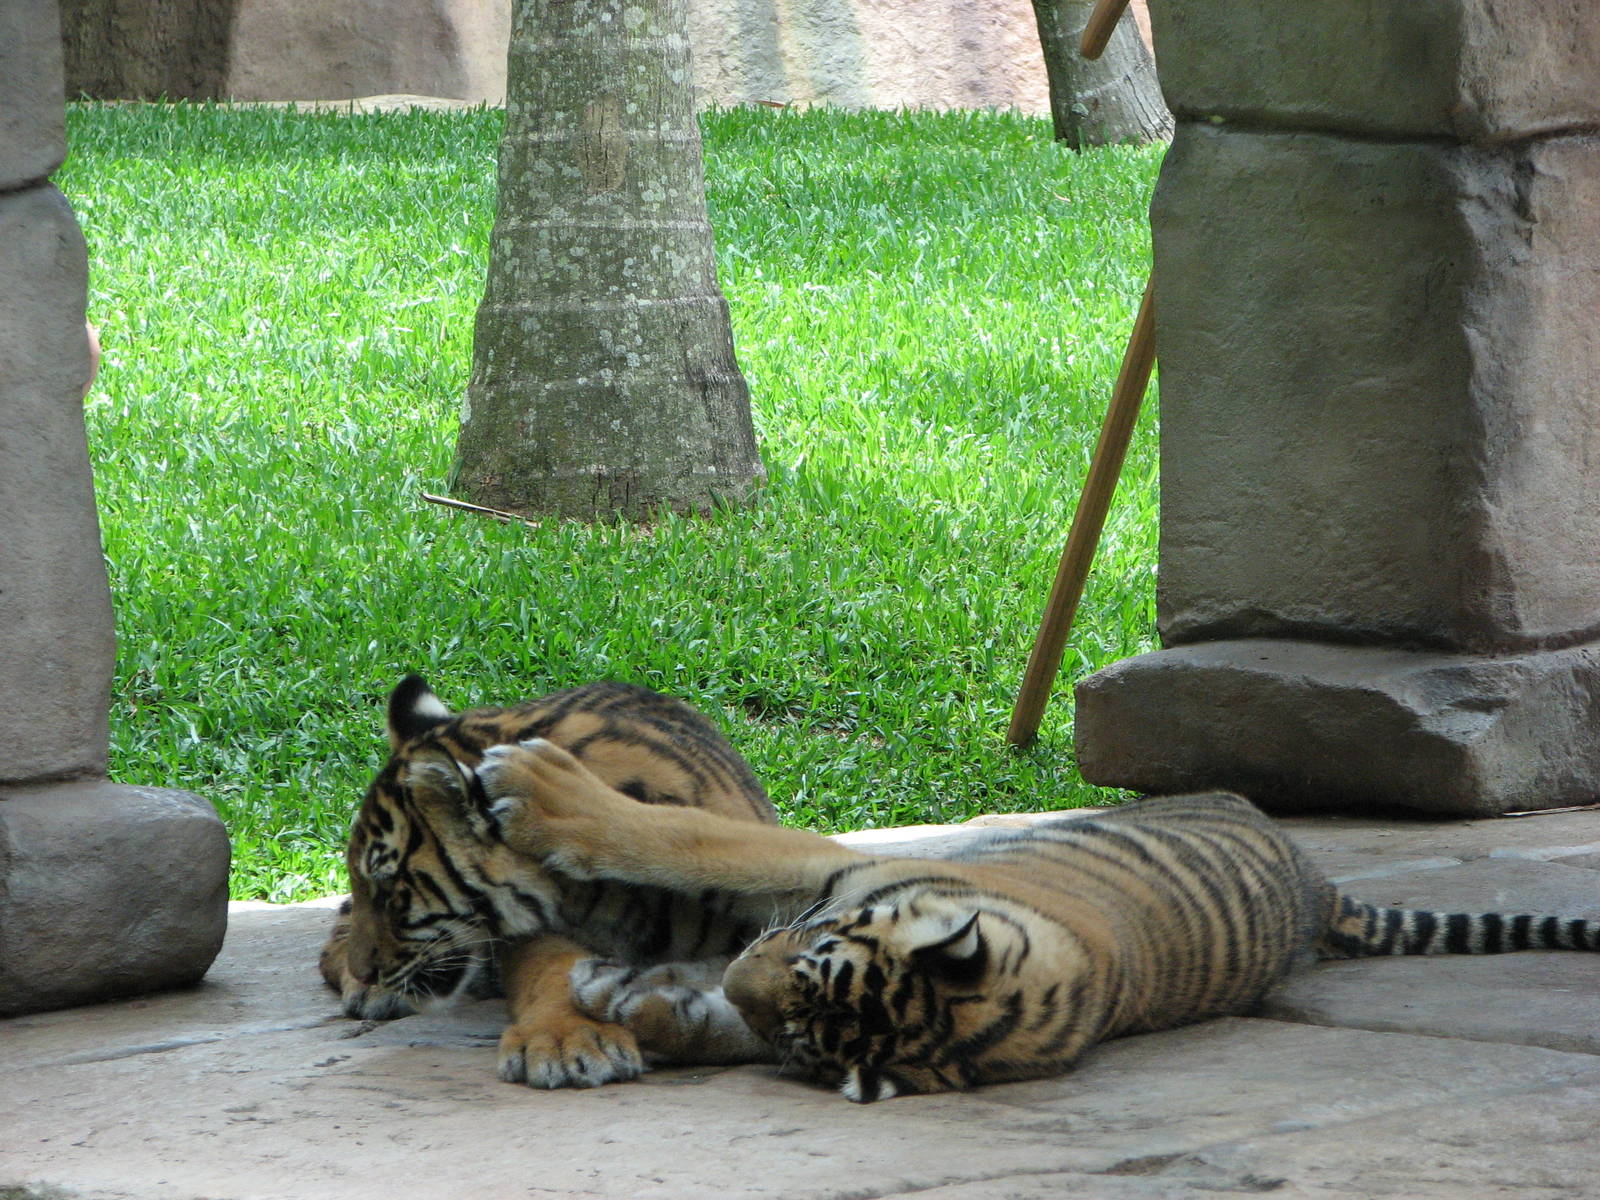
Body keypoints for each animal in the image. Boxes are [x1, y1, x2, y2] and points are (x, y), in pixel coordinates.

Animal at [469, 734, 1600, 1102]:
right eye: (815, 955)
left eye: (801, 1033)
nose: (748, 968)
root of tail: (1322, 891)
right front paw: (634, 1001)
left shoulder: (826, 870)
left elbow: (688, 838)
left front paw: (534, 787)